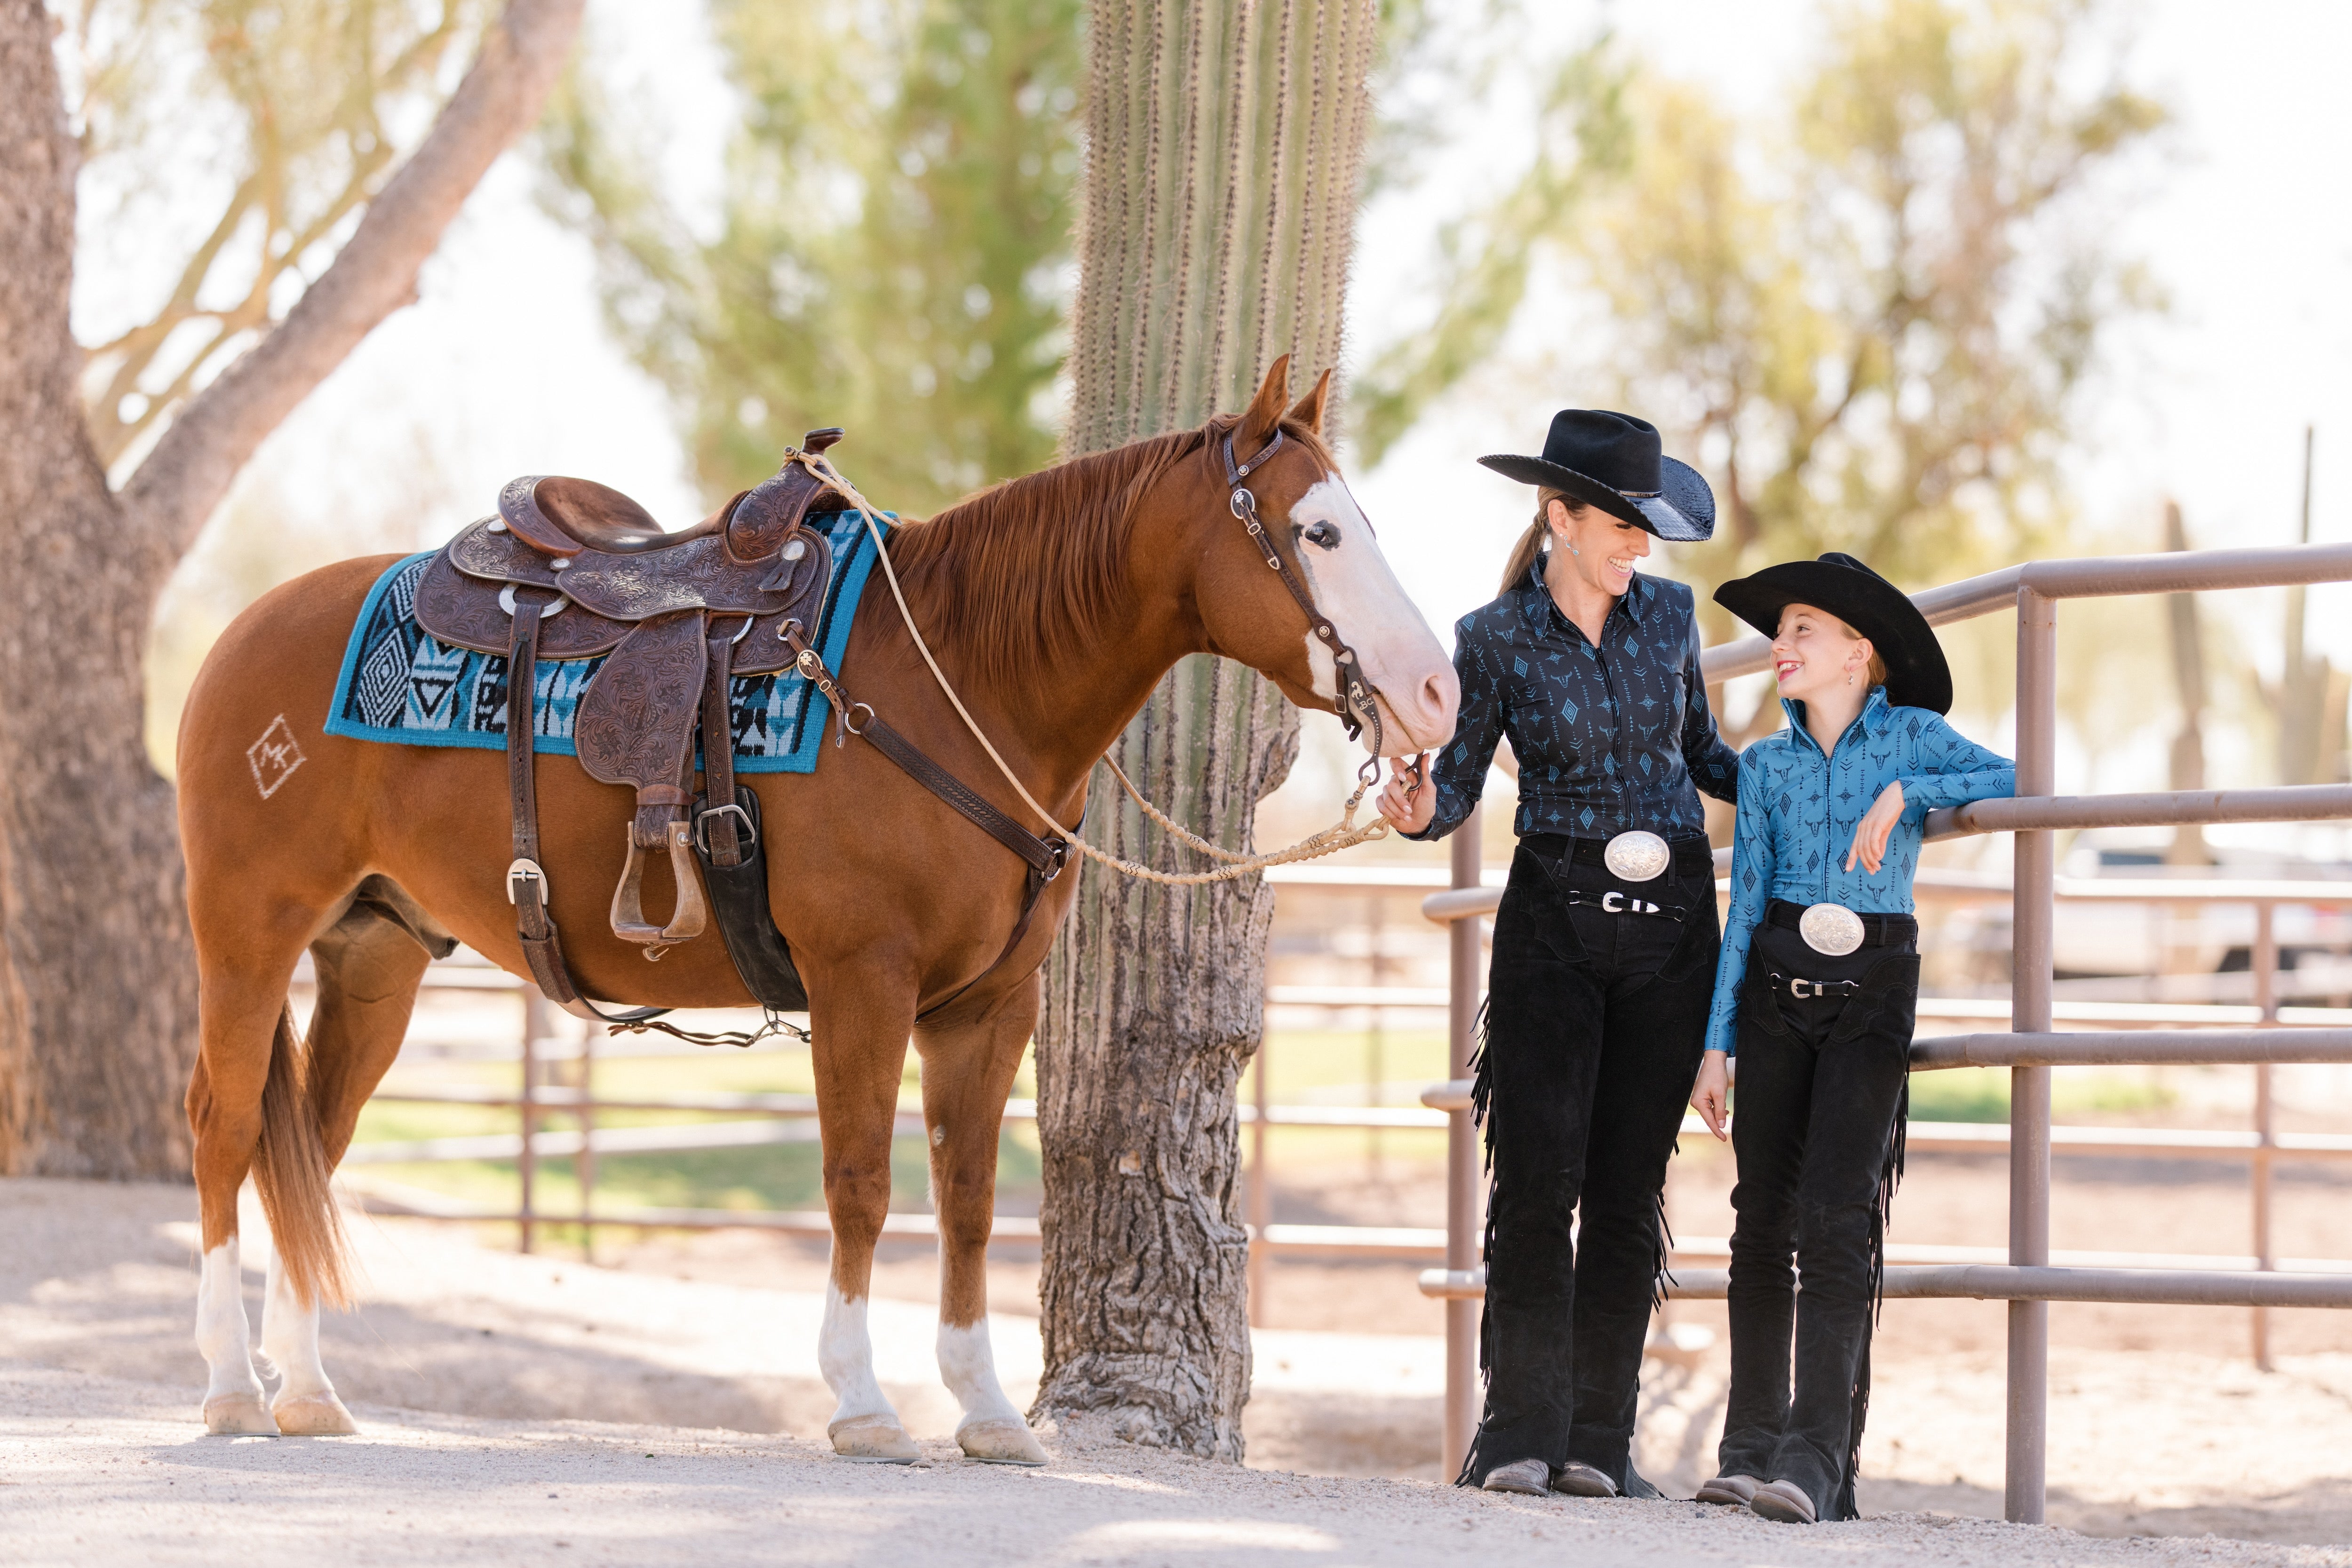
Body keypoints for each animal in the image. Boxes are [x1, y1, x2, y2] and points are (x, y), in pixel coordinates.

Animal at [170, 362, 1449, 1467]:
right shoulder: (860, 979)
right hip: (248, 934)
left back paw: (308, 1389)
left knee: (310, 1146)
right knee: (227, 1129)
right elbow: (860, 1183)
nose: (1436, 692)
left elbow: (970, 1200)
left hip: (375, 952)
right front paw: (863, 1404)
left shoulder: (992, 1003)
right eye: (1319, 533)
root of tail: (235, 637)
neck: (959, 680)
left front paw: (988, 1412)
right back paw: (231, 1385)